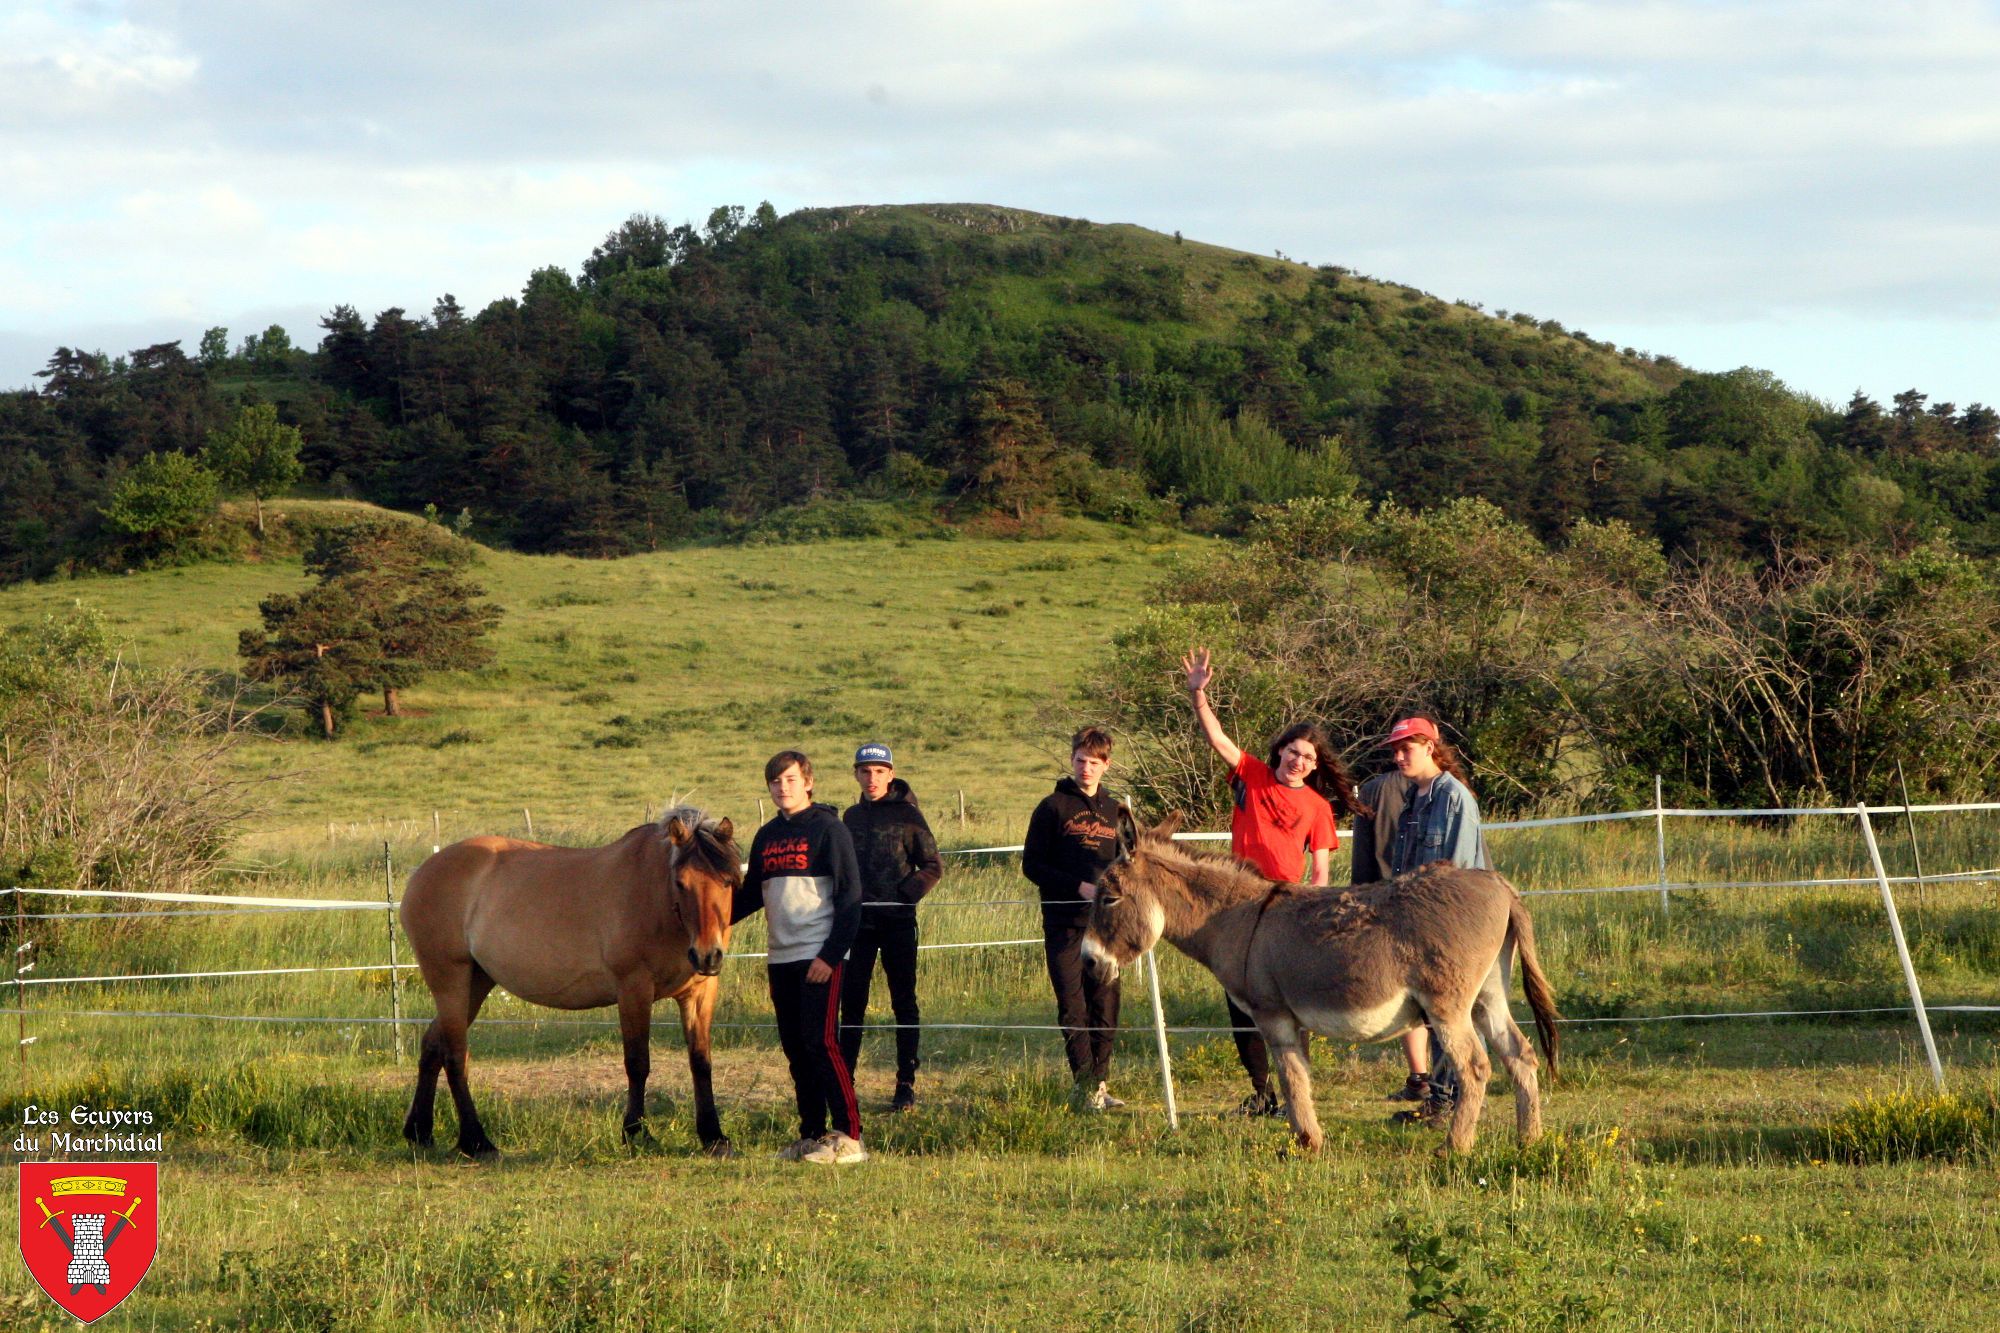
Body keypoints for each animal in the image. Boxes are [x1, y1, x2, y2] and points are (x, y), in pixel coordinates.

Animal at [398, 800, 744, 1152]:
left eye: (727, 881)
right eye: (681, 883)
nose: (707, 955)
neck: (655, 898)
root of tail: (422, 873)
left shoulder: (700, 992)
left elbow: (700, 1061)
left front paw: (713, 1135)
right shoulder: (634, 989)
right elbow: (638, 1062)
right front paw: (635, 1132)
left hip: (476, 983)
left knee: (433, 1046)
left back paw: (420, 1132)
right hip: (450, 981)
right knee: (455, 1056)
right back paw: (476, 1141)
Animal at [1080, 804, 1560, 1144]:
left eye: (1109, 898)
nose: (1087, 961)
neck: (1240, 918)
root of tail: (1499, 885)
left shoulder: (1272, 1014)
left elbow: (1290, 1076)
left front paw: (1306, 1143)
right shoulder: (1295, 1017)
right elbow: (1303, 1078)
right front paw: (1307, 1136)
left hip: (1448, 1005)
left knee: (1475, 1067)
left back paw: (1454, 1148)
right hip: (1489, 996)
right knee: (1520, 1054)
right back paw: (1529, 1140)